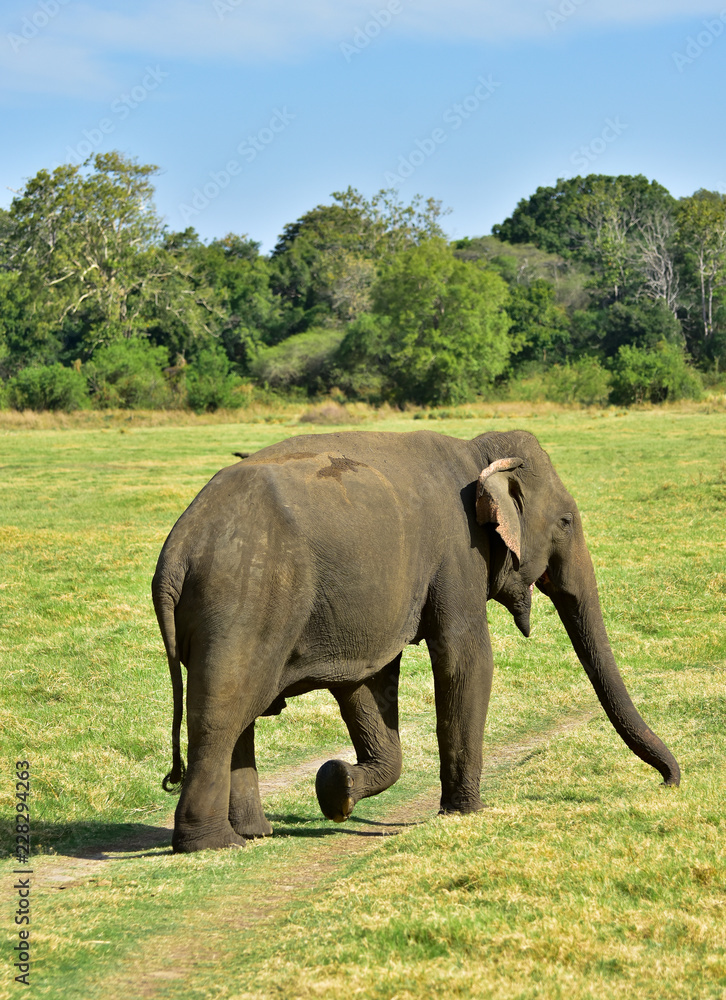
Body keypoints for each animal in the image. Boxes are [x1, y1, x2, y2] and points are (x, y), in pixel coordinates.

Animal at [152, 428, 680, 853]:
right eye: (566, 522)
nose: (671, 783)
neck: (477, 451)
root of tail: (177, 549)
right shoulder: (459, 553)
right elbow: (467, 660)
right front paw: (466, 812)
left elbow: (367, 685)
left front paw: (337, 789)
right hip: (243, 601)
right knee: (222, 712)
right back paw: (213, 844)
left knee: (238, 713)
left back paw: (254, 833)